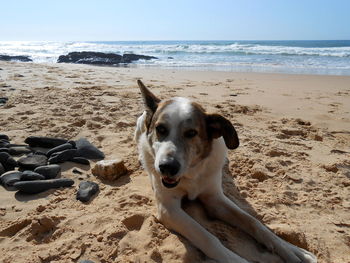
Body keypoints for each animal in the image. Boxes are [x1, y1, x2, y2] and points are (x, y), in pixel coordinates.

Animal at [134, 80, 318, 263]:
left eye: (191, 133)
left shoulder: (215, 199)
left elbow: (254, 222)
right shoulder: (168, 210)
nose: (167, 167)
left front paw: (294, 251)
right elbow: (208, 238)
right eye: (160, 129)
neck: (192, 174)